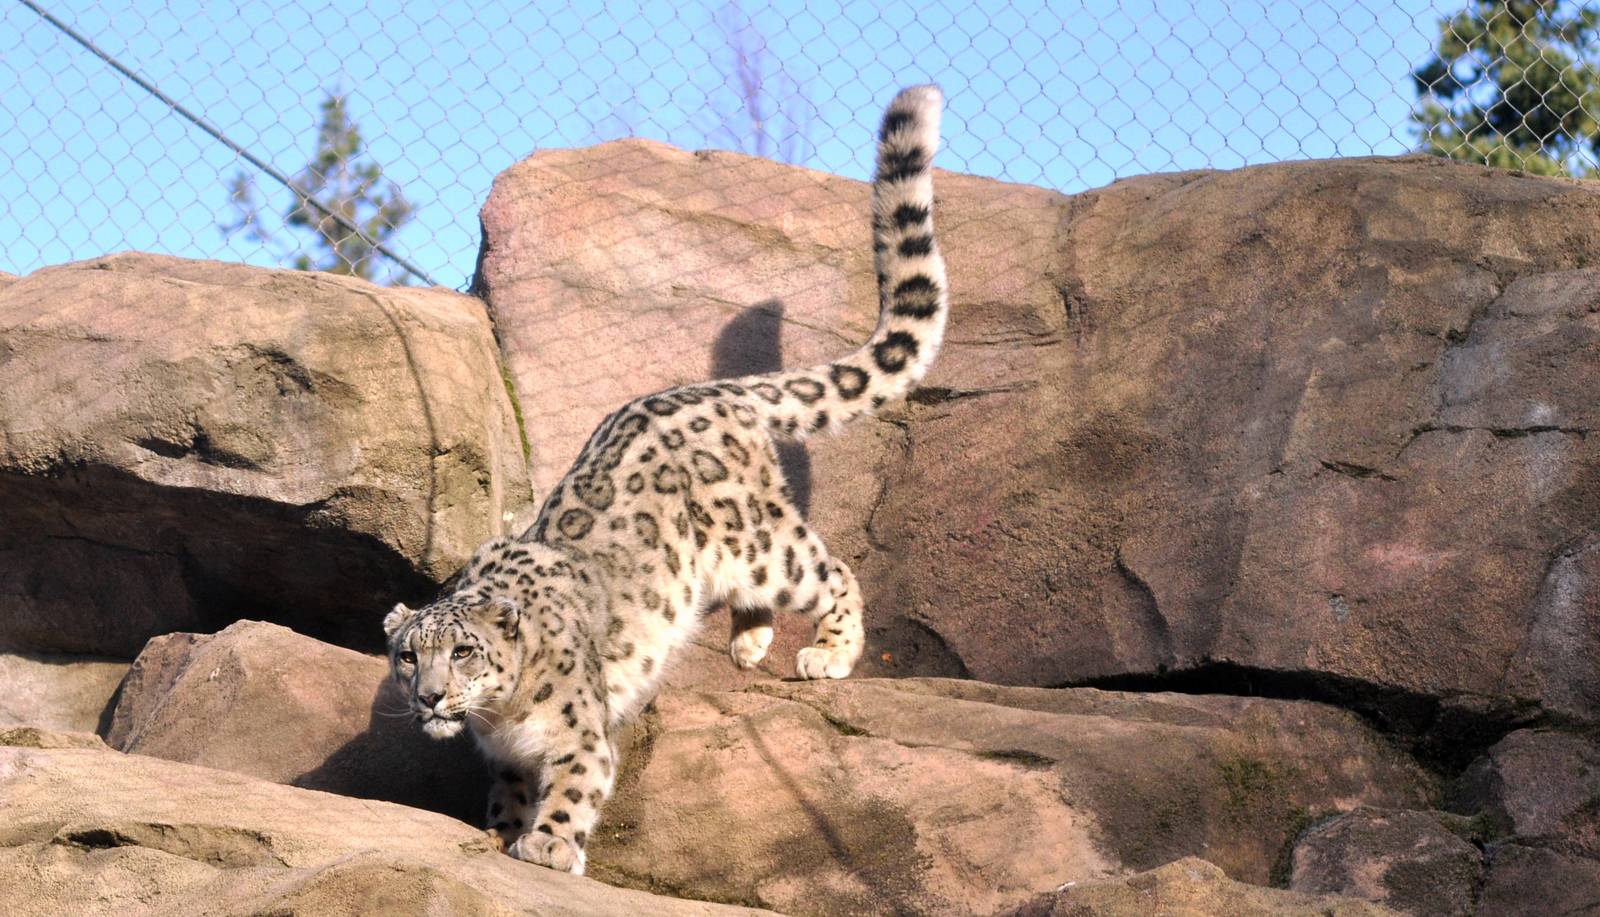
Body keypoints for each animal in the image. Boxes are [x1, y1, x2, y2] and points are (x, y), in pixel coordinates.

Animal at [383, 84, 948, 876]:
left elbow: (575, 785)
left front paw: (548, 845)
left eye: (463, 652)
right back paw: (748, 643)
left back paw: (828, 653)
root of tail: (717, 391)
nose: (431, 698)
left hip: (760, 541)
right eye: (408, 657)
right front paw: (502, 827)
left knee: (831, 568)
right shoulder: (503, 756)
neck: (502, 716)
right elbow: (508, 788)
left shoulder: (579, 735)